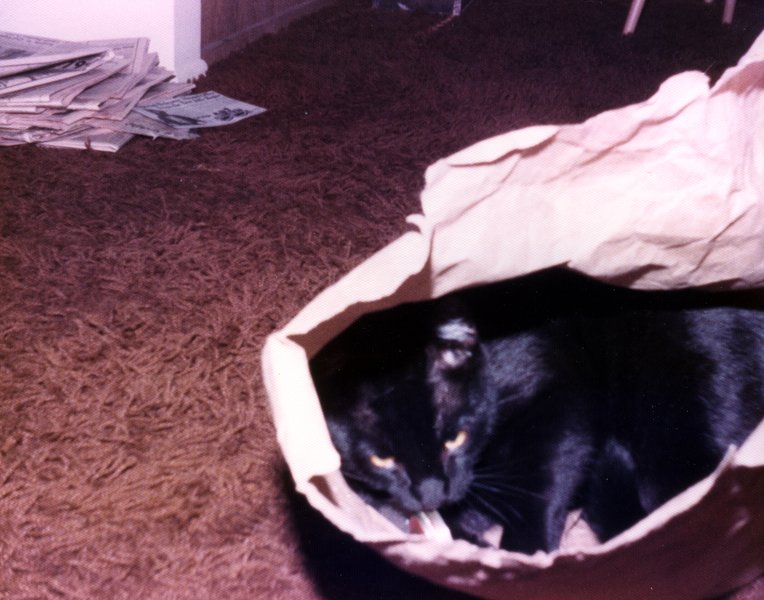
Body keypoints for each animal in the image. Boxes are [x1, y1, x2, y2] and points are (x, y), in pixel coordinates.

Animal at [310, 268, 764, 553]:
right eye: (381, 459)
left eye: (455, 437)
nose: (433, 494)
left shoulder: (561, 400)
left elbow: (542, 483)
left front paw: (521, 554)